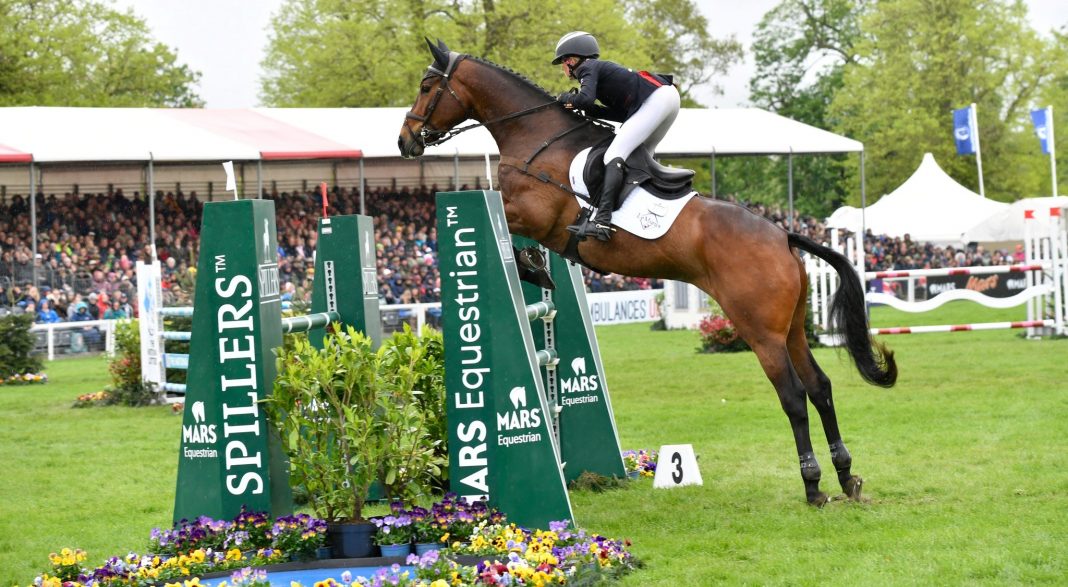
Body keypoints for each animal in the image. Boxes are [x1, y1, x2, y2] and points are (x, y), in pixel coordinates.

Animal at [397, 39, 897, 508]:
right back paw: (846, 476)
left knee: (793, 395)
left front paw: (535, 266)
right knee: (820, 387)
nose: (406, 141)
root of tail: (784, 236)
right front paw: (538, 270)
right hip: (791, 327)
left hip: (761, 331)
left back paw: (812, 485)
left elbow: (513, 228)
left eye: (425, 86)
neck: (536, 138)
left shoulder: (531, 213)